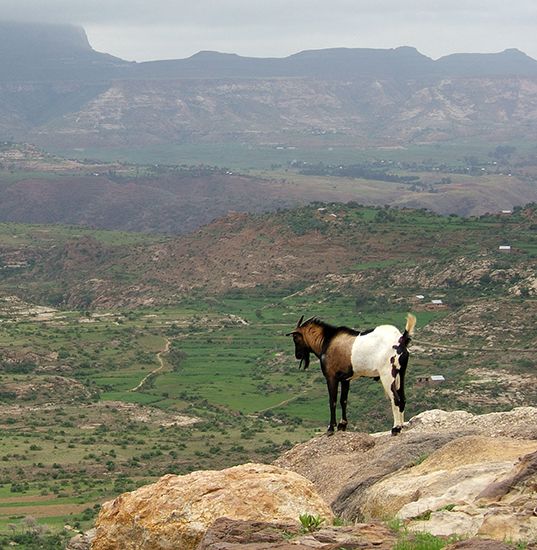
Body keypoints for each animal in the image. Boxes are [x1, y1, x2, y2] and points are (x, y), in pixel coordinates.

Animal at [286, 314, 416, 436]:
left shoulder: (331, 377)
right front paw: (342, 425)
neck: (326, 341)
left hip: (387, 375)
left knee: (396, 399)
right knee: (403, 399)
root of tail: (401, 340)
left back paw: (395, 428)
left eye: (296, 338)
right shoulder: (345, 379)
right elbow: (343, 400)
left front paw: (331, 428)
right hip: (400, 373)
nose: (297, 355)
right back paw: (401, 427)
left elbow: (332, 401)